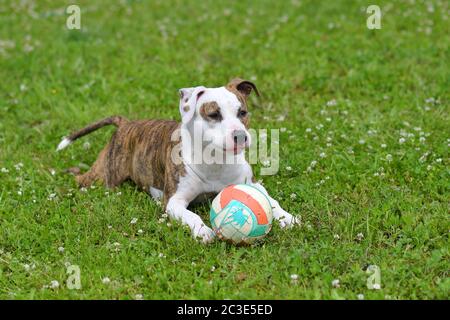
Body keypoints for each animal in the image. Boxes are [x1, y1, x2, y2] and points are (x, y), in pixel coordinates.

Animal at [57, 79, 298, 244]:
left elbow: (271, 201)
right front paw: (203, 231)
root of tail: (126, 124)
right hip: (101, 176)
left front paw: (287, 217)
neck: (215, 161)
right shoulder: (175, 201)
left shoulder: (252, 184)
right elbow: (191, 216)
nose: (240, 136)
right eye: (213, 114)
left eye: (243, 112)